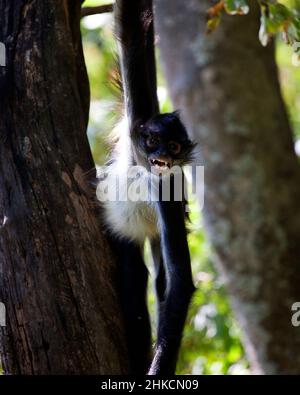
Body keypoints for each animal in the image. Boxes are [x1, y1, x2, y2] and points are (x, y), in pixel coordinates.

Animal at [99, 0, 196, 376]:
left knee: (154, 279)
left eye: (174, 147)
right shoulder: (136, 120)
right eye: (153, 140)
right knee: (136, 273)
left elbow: (179, 282)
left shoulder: (167, 191)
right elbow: (130, 31)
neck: (142, 171)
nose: (160, 157)